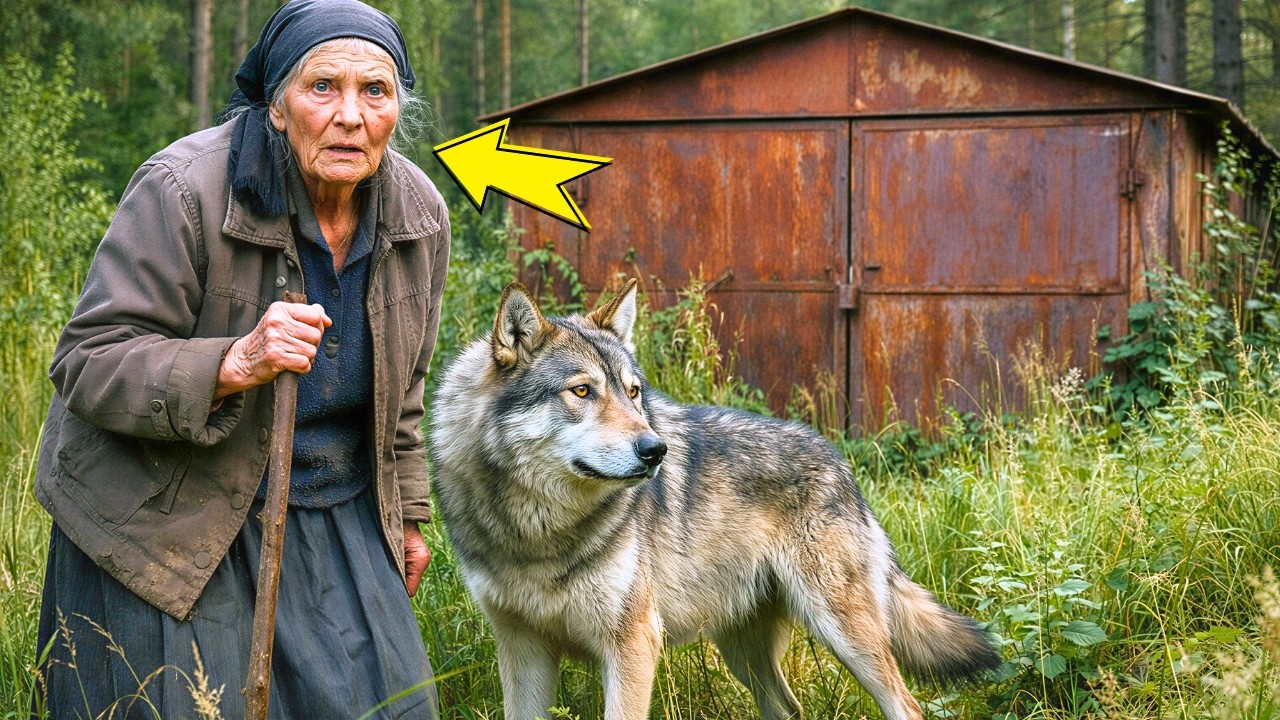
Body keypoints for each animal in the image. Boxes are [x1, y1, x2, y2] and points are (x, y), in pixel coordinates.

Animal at [429, 279, 1000, 720]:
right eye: (582, 391)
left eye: (633, 392)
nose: (655, 450)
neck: (539, 532)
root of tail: (839, 460)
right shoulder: (521, 647)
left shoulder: (633, 645)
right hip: (743, 651)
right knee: (788, 708)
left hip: (844, 634)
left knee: (907, 706)